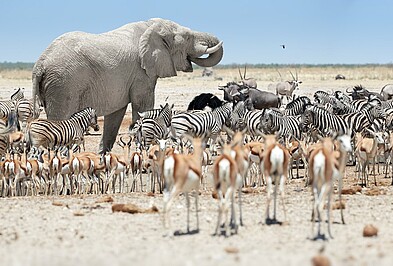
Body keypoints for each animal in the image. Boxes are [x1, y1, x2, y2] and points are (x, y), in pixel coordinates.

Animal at [32, 17, 222, 153]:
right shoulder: (141, 73)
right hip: (63, 85)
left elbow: (116, 113)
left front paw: (104, 157)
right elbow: (143, 105)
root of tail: (39, 65)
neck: (150, 26)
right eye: (188, 37)